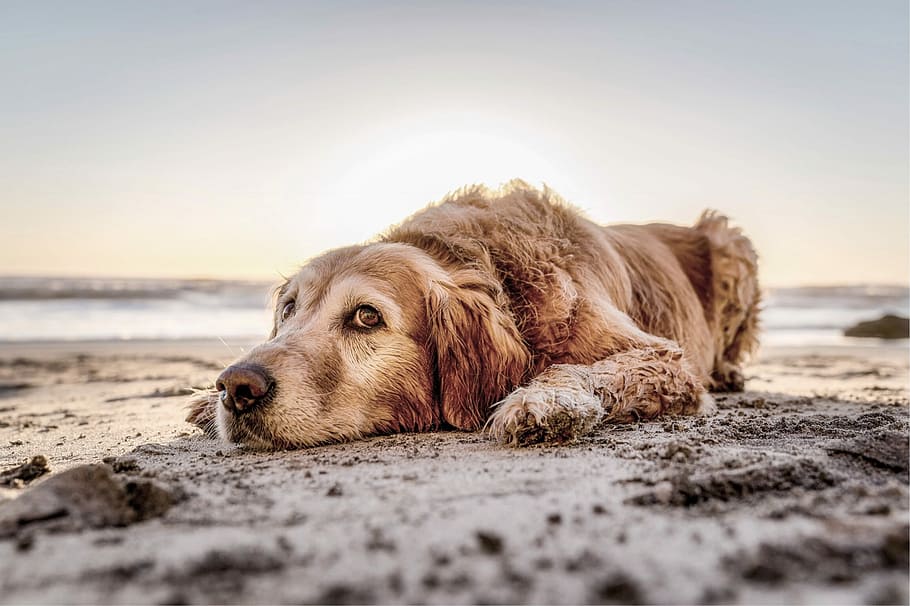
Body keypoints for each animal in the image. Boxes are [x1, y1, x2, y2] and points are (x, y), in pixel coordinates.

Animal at [185, 179, 764, 446]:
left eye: (367, 317)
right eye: (288, 308)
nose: (237, 387)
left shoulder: (666, 360)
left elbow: (581, 368)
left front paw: (541, 401)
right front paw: (202, 404)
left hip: (730, 241)